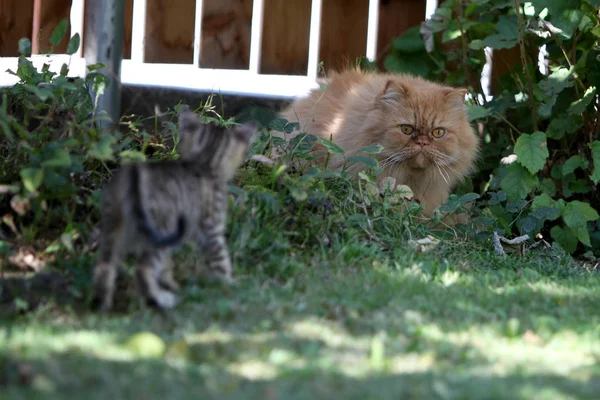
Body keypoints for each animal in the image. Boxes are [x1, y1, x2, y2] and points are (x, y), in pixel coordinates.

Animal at [91, 109, 255, 312]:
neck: (205, 163)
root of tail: (134, 175)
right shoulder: (211, 227)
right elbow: (221, 259)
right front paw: (231, 286)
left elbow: (167, 267)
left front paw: (173, 283)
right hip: (163, 226)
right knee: (143, 268)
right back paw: (161, 300)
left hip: (114, 225)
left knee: (105, 265)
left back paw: (104, 305)